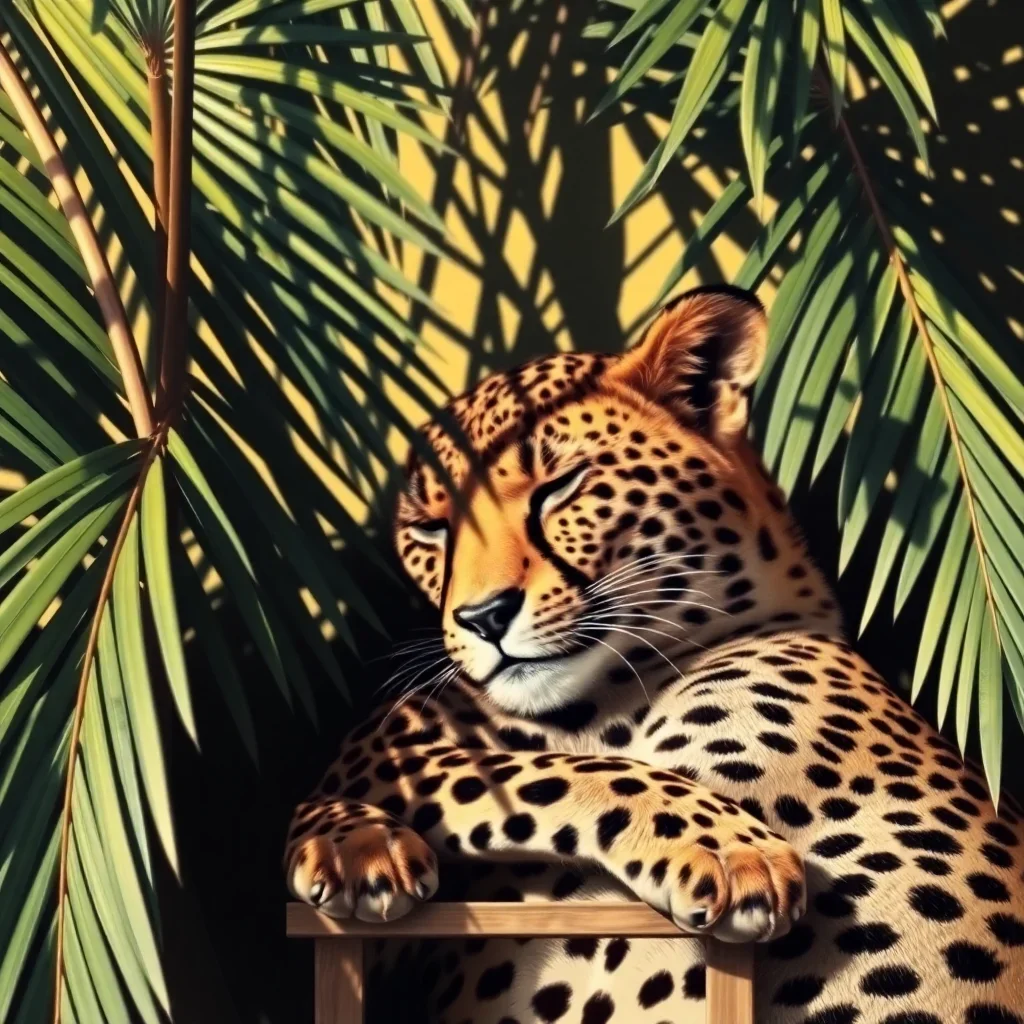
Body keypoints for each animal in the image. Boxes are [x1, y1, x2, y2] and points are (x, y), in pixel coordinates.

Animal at [284, 285, 1024, 1024]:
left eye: (561, 486)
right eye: (430, 529)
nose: (483, 616)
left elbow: (549, 771)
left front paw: (733, 853)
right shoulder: (394, 760)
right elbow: (544, 770)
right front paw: (355, 847)